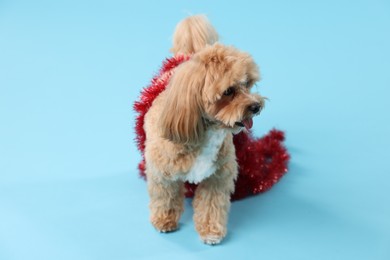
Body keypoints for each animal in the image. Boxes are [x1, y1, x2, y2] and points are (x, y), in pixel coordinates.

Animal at [143, 15, 266, 245]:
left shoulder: (217, 176)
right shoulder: (163, 174)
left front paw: (211, 231)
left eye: (247, 83)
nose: (255, 106)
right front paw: (164, 220)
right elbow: (165, 197)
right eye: (228, 91)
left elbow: (211, 206)